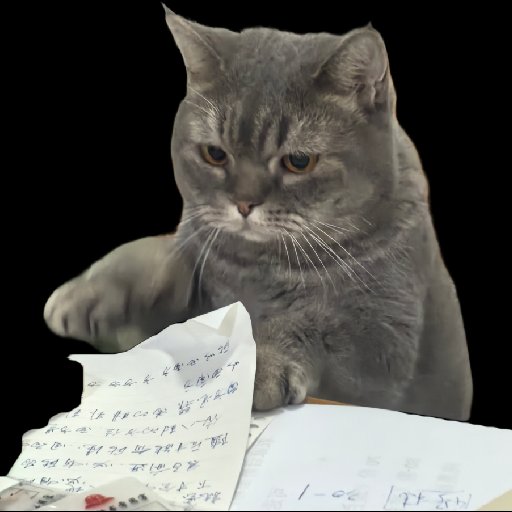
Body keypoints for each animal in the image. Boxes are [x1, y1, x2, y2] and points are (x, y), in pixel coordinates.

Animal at [43, 6, 473, 421]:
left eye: (299, 161)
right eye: (215, 154)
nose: (244, 203)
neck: (260, 268)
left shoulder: (386, 337)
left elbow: (310, 325)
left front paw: (257, 364)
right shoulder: (197, 250)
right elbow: (153, 254)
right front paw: (88, 292)